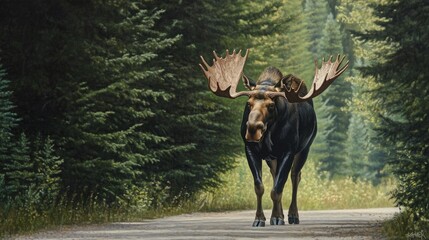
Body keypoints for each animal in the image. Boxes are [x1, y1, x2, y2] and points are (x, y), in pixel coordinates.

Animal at [199, 49, 346, 227]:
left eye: (271, 105)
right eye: (248, 103)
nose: (252, 129)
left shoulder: (288, 151)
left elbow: (277, 189)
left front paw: (276, 217)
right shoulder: (251, 149)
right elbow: (260, 187)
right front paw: (260, 219)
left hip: (304, 149)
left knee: (295, 177)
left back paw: (292, 215)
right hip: (272, 157)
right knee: (276, 175)